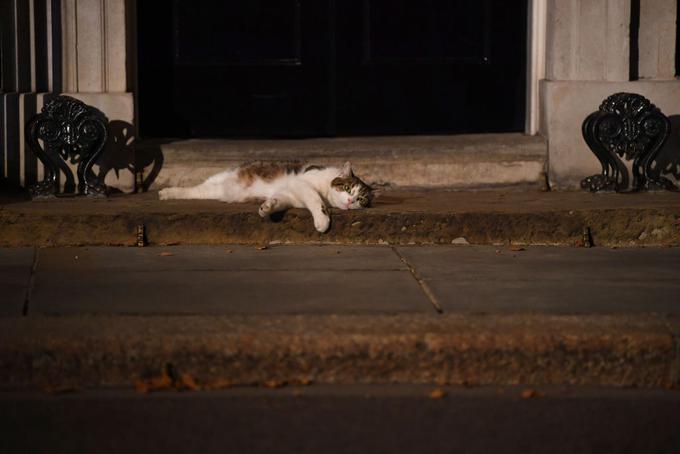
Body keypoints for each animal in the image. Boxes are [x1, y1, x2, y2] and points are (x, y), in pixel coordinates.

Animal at [158, 160, 372, 232]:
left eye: (361, 200)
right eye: (347, 188)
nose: (351, 200)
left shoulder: (289, 194)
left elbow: (279, 200)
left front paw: (267, 207)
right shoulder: (301, 183)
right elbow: (315, 199)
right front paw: (322, 220)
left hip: (214, 191)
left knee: (197, 192)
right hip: (218, 178)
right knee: (195, 188)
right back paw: (166, 192)